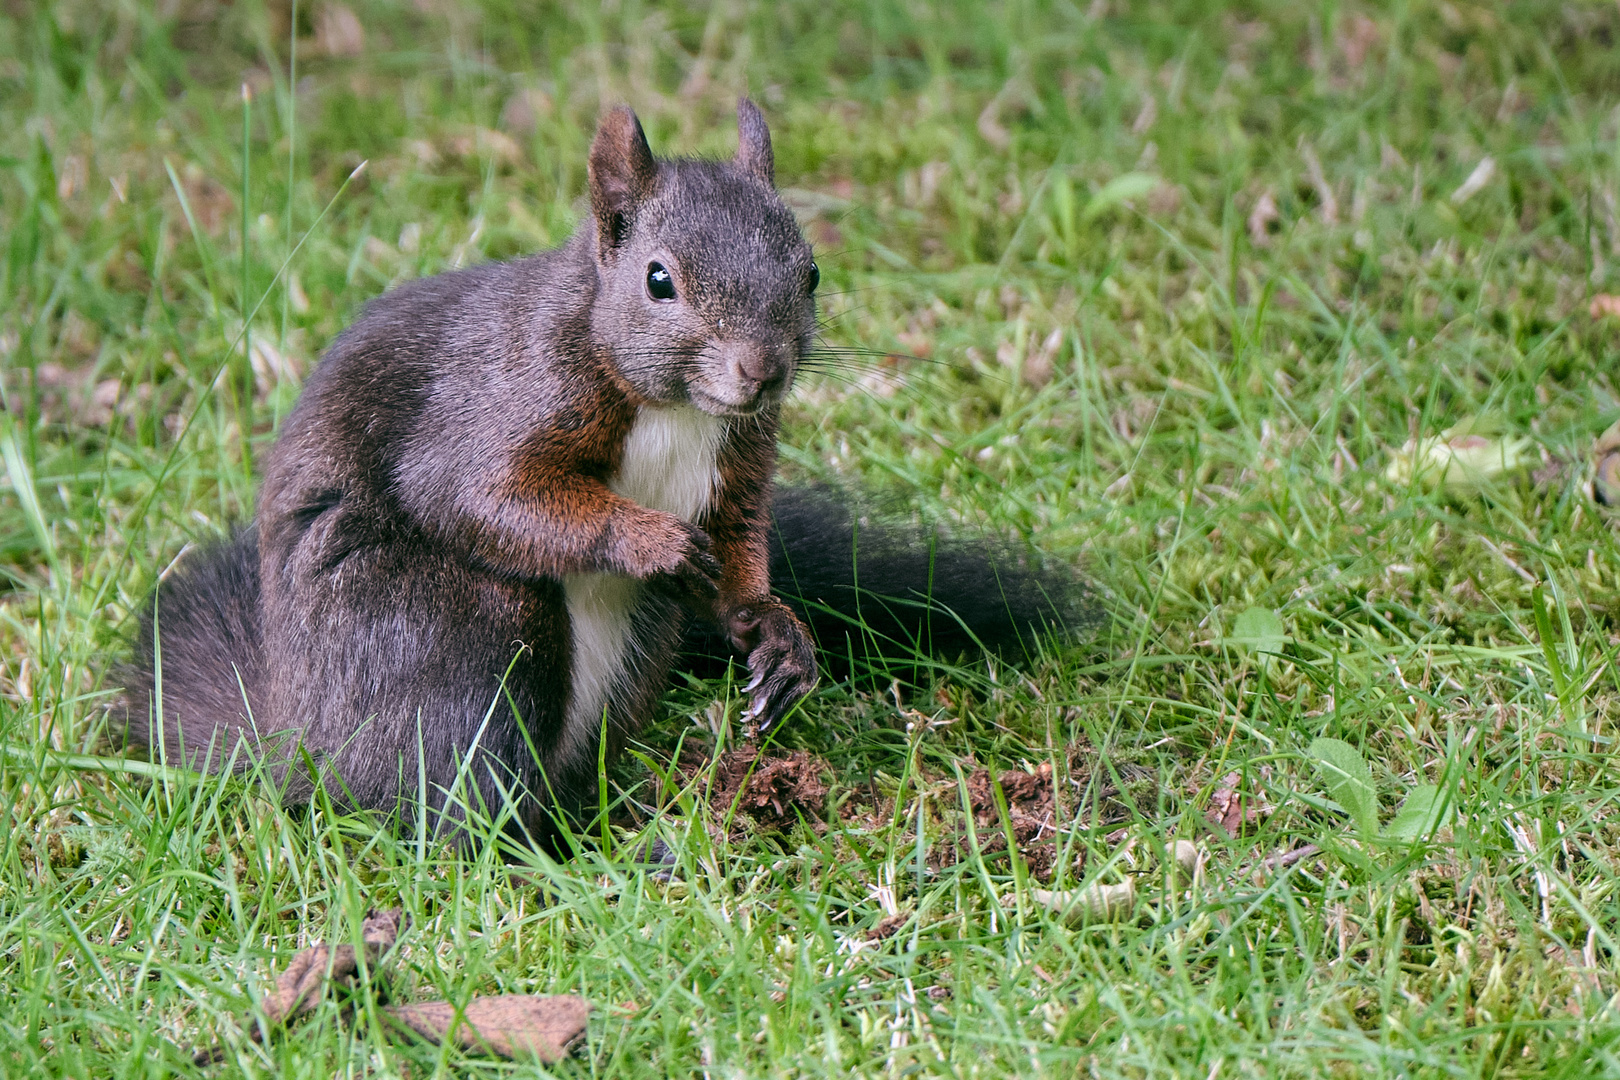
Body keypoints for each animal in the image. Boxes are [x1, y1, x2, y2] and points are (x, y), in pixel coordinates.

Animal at [117, 101, 1075, 854]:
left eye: (810, 272)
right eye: (658, 280)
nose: (762, 371)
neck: (673, 406)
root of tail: (302, 741)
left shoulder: (742, 458)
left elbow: (740, 541)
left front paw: (774, 630)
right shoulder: (493, 405)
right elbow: (476, 494)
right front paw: (655, 541)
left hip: (637, 654)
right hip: (450, 635)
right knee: (450, 806)